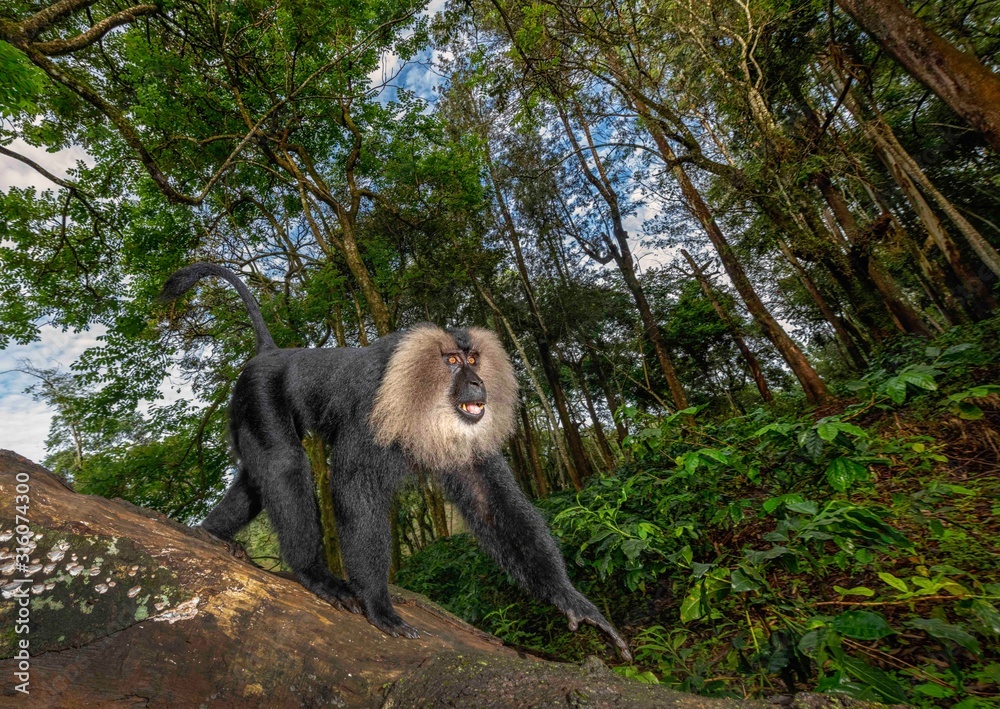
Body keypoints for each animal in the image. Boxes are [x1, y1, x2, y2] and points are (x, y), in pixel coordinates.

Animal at [158, 262, 630, 658]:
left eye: (474, 359)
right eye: (453, 361)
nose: (477, 383)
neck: (423, 395)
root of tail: (271, 354)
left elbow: (490, 504)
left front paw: (571, 600)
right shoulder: (372, 409)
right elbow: (354, 489)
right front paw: (378, 604)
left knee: (257, 481)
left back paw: (212, 534)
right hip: (256, 398)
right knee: (284, 466)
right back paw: (313, 573)